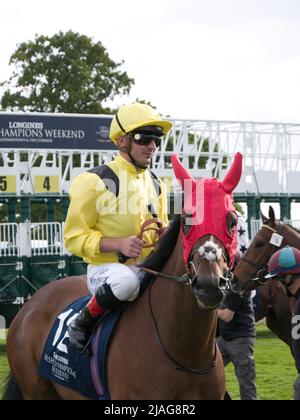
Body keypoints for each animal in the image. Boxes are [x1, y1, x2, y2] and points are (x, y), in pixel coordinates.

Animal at [2, 154, 243, 400]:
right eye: (187, 220)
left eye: (232, 221)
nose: (208, 284)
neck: (186, 354)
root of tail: (31, 303)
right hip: (36, 390)